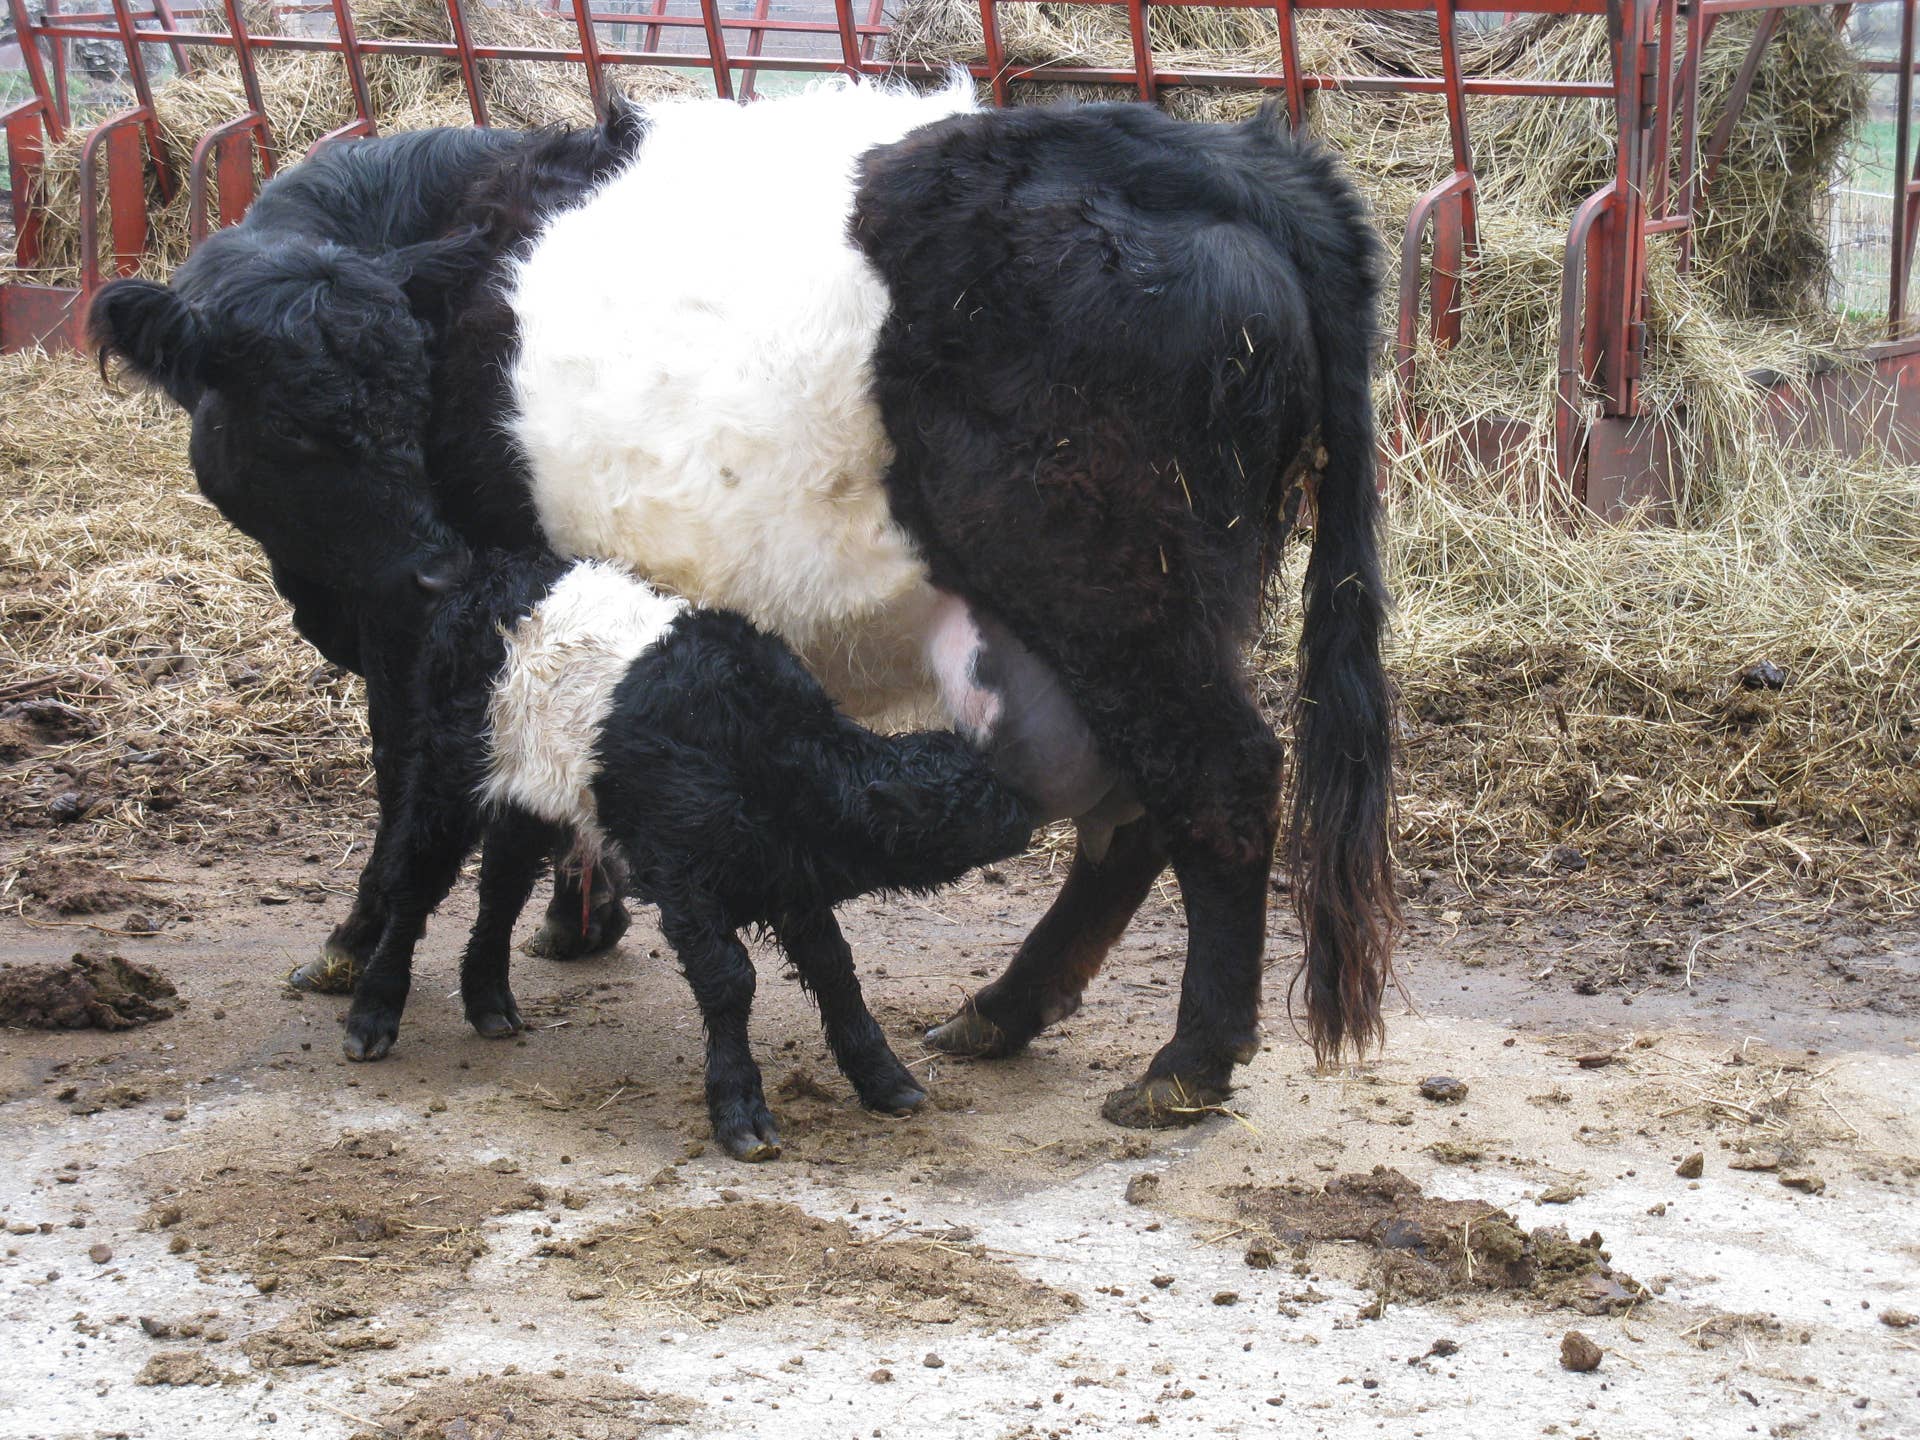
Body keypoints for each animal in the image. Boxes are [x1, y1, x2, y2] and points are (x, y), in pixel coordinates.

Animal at [93, 79, 1398, 1128]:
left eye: (399, 399)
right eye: (298, 422)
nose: (426, 559)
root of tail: (1225, 157)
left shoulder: (423, 626)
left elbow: (413, 782)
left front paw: (358, 944)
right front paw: (578, 918)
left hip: (1121, 594)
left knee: (1217, 784)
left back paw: (1185, 1065)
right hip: (1108, 621)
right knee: (1127, 811)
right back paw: (1004, 1011)